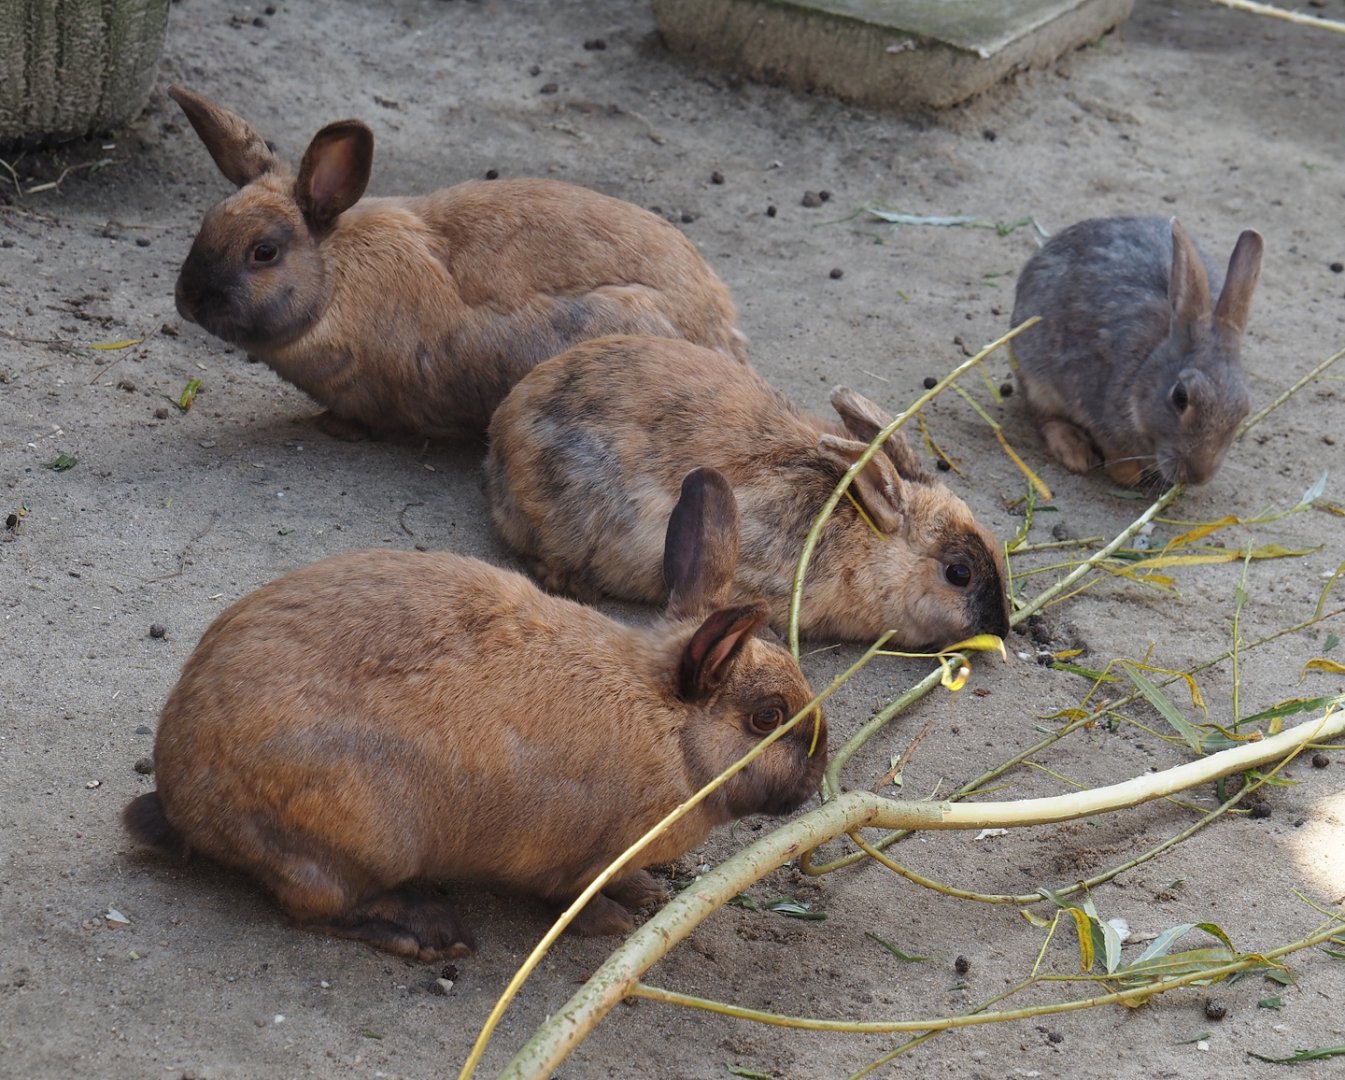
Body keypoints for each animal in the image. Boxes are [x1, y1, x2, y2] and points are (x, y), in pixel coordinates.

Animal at [122, 467, 824, 960]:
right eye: (767, 719)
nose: (817, 777)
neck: (672, 728)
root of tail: (185, 804)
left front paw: (646, 891)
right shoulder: (577, 860)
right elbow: (570, 900)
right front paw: (617, 920)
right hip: (356, 835)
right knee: (317, 907)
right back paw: (429, 933)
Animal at [167, 85, 746, 440]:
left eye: (263, 252)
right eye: (207, 221)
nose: (187, 301)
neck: (334, 283)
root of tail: (721, 332)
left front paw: (335, 427)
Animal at [1010, 215, 1263, 487]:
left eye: (1243, 410)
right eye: (1180, 397)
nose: (1198, 476)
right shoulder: (1089, 394)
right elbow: (1119, 463)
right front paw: (1127, 473)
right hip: (1034, 376)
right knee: (1043, 415)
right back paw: (1074, 450)